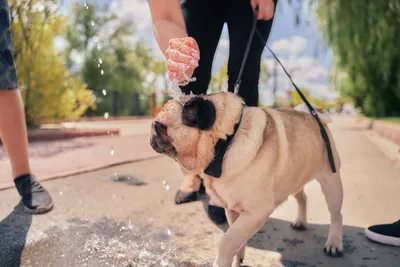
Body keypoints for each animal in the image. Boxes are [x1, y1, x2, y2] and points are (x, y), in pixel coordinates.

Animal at [150, 92, 344, 267]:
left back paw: (334, 244)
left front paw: (222, 262)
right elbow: (237, 238)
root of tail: (314, 115)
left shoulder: (256, 212)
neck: (225, 142)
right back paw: (300, 222)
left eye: (159, 126)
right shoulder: (232, 208)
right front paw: (238, 259)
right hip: (295, 178)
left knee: (336, 215)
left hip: (331, 182)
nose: (151, 132)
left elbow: (227, 241)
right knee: (302, 198)